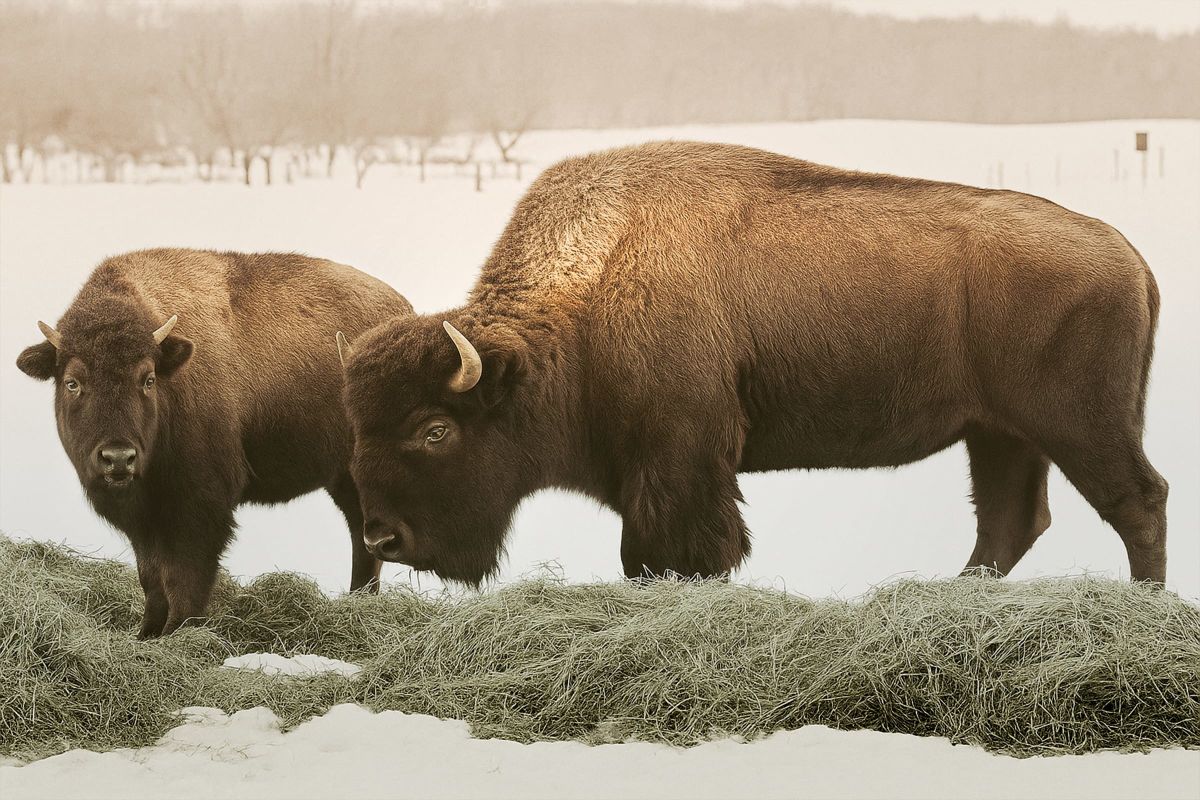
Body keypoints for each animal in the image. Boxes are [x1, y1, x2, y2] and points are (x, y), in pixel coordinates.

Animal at [17, 248, 413, 637]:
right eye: (72, 382)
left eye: (148, 379)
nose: (118, 458)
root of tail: (404, 311)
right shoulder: (145, 519)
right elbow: (151, 576)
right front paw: (147, 632)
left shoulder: (199, 505)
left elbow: (185, 575)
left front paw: (179, 631)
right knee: (363, 534)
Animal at [340, 141, 1167, 586]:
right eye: (358, 431)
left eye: (436, 429)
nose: (382, 540)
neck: (590, 287)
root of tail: (1127, 253)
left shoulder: (680, 464)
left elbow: (674, 552)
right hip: (999, 433)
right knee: (1009, 523)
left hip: (1076, 425)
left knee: (1138, 502)